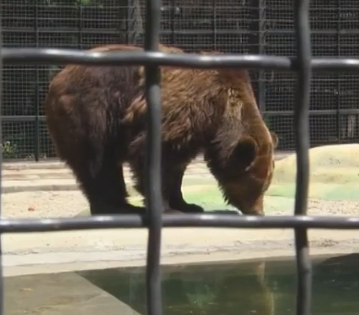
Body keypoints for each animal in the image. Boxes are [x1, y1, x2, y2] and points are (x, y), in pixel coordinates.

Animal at [44, 43, 278, 217]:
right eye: (258, 185)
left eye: (266, 184)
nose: (258, 212)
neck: (221, 114)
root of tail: (58, 77)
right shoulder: (180, 113)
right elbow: (152, 157)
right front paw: (167, 208)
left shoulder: (192, 133)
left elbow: (177, 167)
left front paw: (187, 204)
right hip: (91, 111)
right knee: (99, 162)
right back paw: (117, 207)